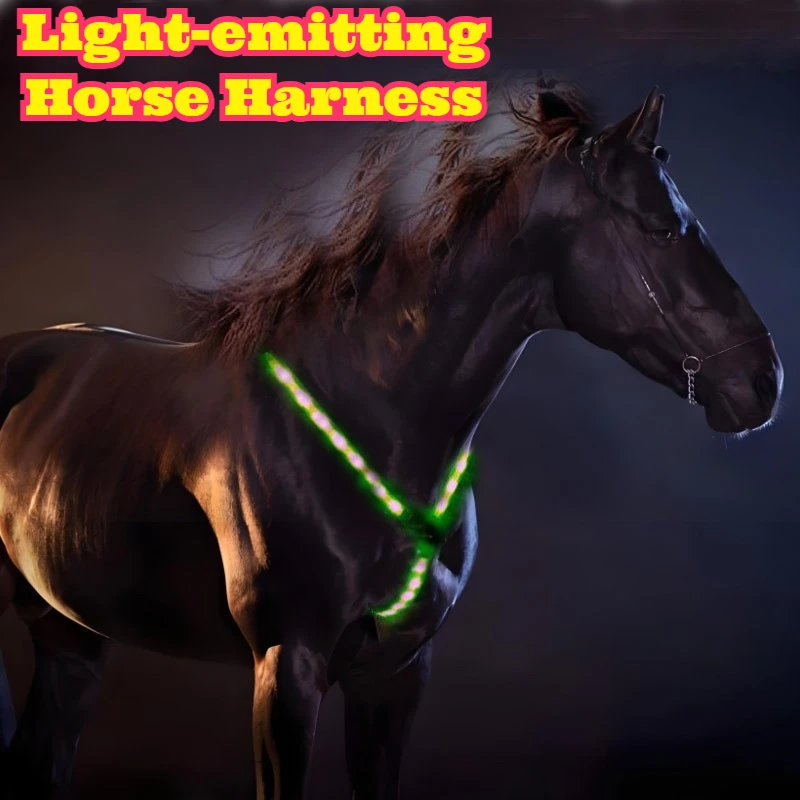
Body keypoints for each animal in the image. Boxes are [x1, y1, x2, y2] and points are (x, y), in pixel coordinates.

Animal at [0, 79, 783, 800]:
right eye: (664, 227)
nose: (763, 380)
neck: (368, 424)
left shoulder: (395, 674)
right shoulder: (287, 669)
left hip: (71, 638)